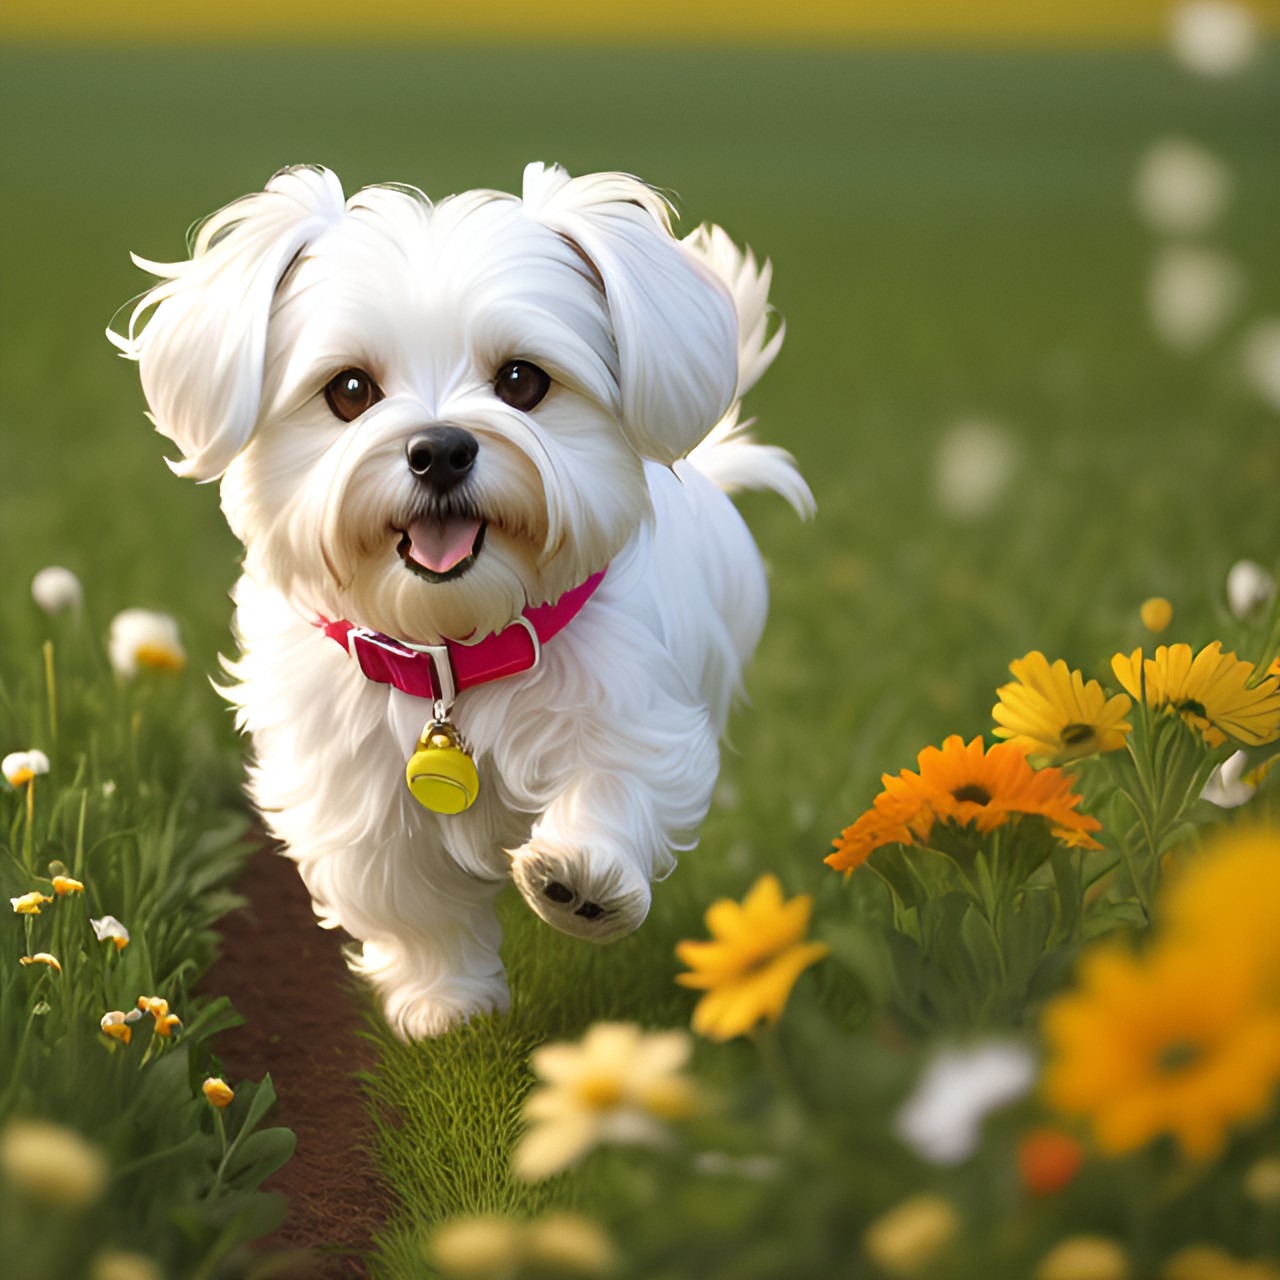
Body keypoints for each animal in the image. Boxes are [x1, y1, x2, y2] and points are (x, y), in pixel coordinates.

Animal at [110, 162, 808, 1039]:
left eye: (521, 380)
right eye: (349, 390)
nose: (440, 449)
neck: (455, 646)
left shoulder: (638, 716)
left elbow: (614, 786)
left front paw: (581, 882)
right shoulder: (353, 795)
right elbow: (413, 907)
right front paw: (448, 1007)